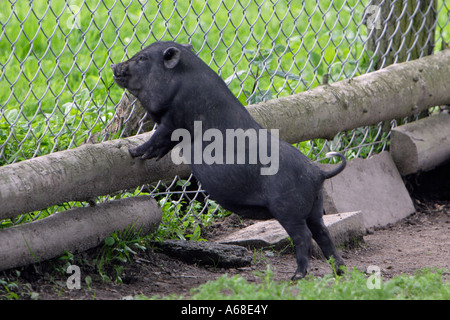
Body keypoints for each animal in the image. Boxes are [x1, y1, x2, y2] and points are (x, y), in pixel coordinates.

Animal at [110, 41, 346, 278]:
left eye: (142, 58)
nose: (114, 65)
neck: (181, 82)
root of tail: (317, 172)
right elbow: (163, 144)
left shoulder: (176, 118)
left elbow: (158, 136)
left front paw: (132, 151)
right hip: (315, 207)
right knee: (323, 233)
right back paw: (340, 271)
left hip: (288, 207)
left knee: (304, 236)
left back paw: (296, 276)